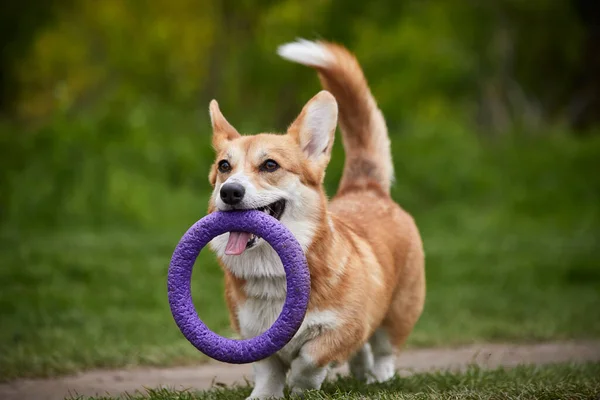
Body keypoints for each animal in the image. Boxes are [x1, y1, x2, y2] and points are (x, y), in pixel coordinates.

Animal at [209, 39, 424, 396]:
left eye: (270, 165)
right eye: (224, 166)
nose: (230, 192)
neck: (273, 274)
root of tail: (366, 188)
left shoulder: (341, 328)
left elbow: (310, 357)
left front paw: (301, 384)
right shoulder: (254, 334)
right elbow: (267, 371)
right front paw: (263, 396)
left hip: (400, 310)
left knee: (384, 348)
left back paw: (379, 376)